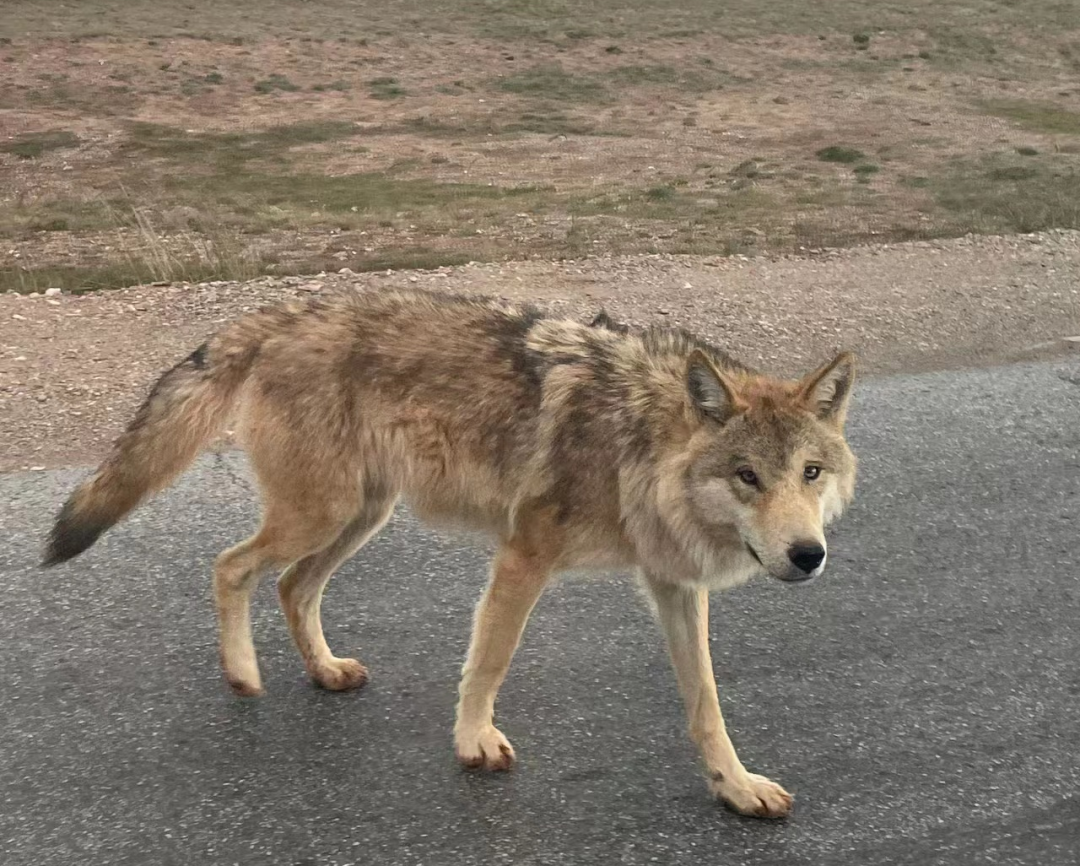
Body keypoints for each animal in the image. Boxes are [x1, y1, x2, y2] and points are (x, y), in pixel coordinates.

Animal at [42, 287, 855, 812]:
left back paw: (325, 672)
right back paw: (243, 675)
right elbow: (489, 661)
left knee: (292, 586)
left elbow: (705, 701)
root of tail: (281, 312)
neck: (637, 436)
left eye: (810, 473)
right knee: (231, 566)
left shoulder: (674, 586)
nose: (807, 555)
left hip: (359, 517)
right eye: (747, 476)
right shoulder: (524, 556)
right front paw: (473, 744)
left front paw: (735, 787)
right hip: (322, 514)